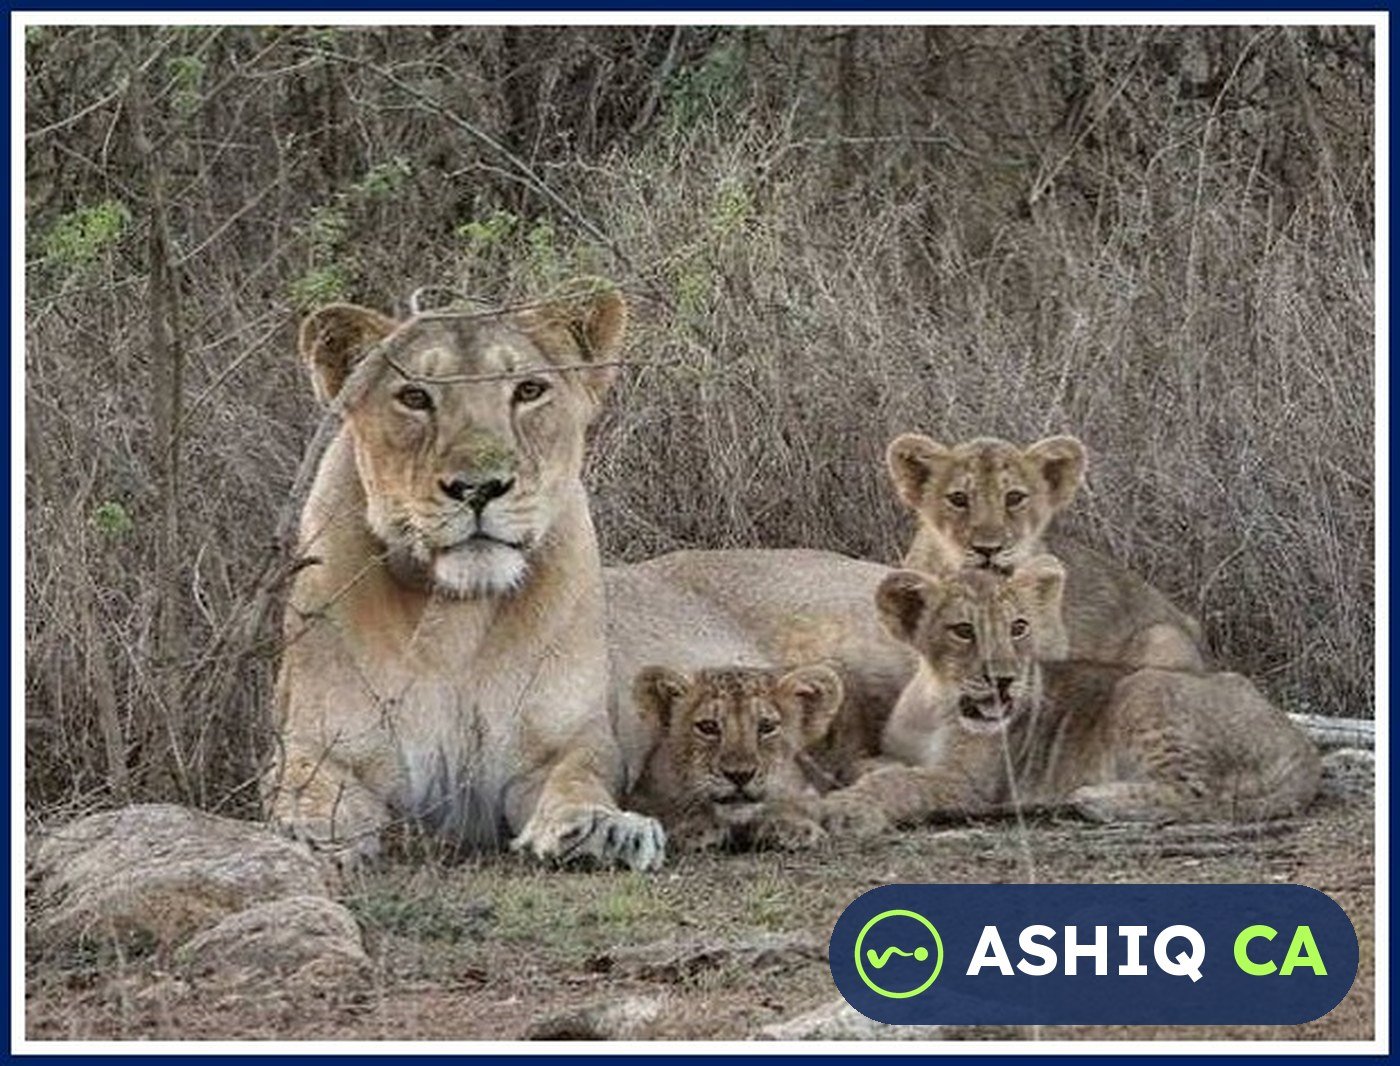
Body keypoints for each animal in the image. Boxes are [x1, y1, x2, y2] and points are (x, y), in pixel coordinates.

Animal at [265, 282, 665, 870]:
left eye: (528, 390)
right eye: (414, 397)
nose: (478, 487)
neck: (456, 617)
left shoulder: (561, 745)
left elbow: (578, 779)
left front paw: (603, 830)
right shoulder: (319, 748)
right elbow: (307, 791)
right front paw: (309, 840)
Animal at [625, 665, 842, 851]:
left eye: (767, 726)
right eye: (708, 727)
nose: (740, 775)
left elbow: (801, 802)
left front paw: (793, 826)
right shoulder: (640, 796)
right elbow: (666, 807)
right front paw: (694, 827)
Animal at [820, 557, 1320, 834]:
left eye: (1018, 627)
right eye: (963, 631)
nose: (1004, 680)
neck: (936, 701)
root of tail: (1304, 747)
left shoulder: (971, 784)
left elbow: (900, 783)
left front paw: (847, 808)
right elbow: (873, 766)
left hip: (1143, 686)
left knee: (1200, 795)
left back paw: (1097, 797)